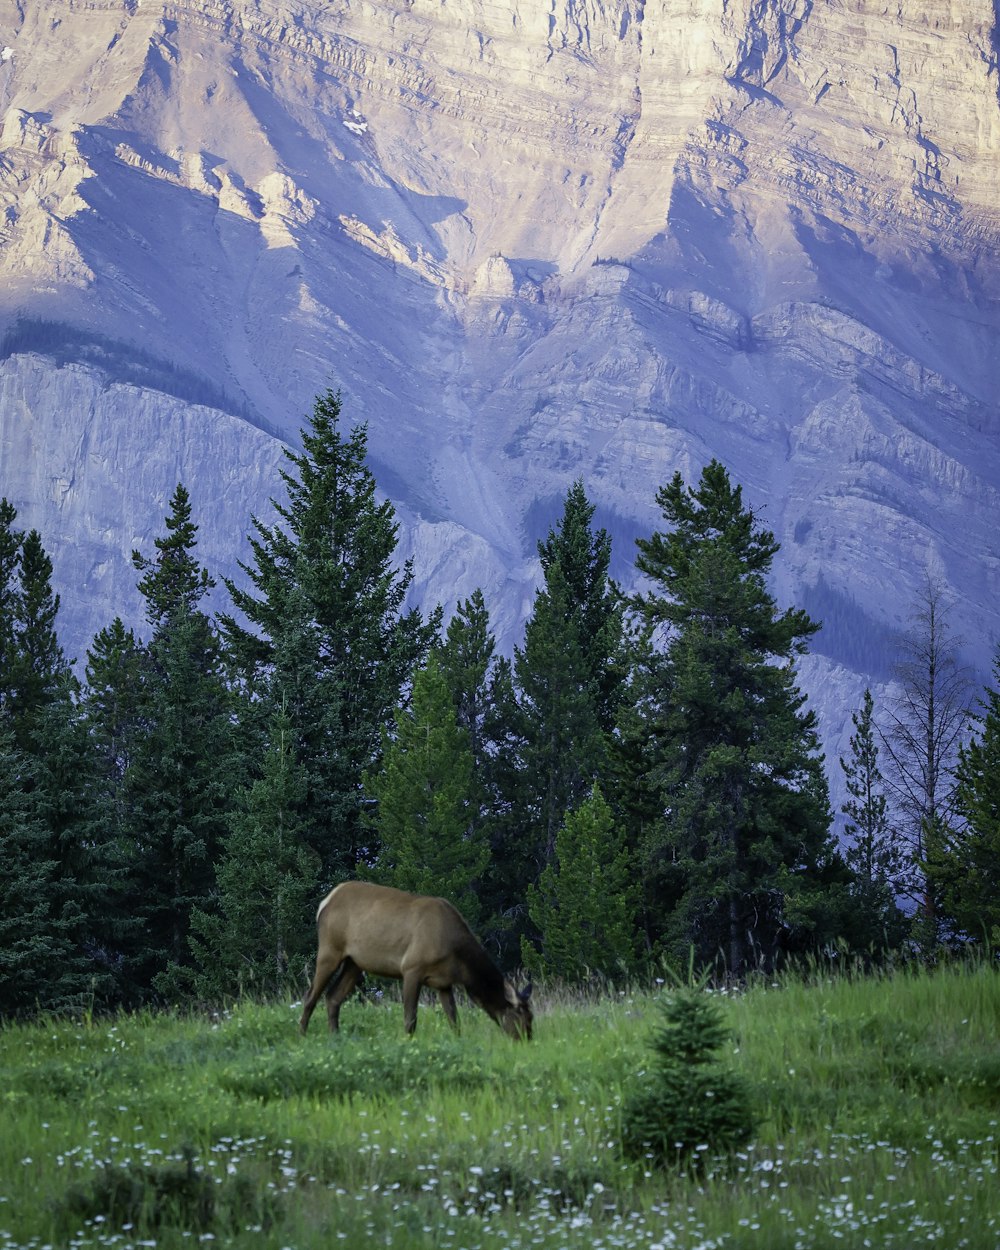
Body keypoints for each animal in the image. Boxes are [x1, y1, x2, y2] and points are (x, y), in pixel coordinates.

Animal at [297, 885, 530, 1040]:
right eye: (521, 1017)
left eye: (531, 1016)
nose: (527, 1039)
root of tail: (324, 902)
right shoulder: (411, 968)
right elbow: (410, 1019)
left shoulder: (443, 983)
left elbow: (454, 1021)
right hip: (330, 950)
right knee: (310, 996)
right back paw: (302, 1035)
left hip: (354, 962)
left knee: (332, 997)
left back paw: (335, 1037)